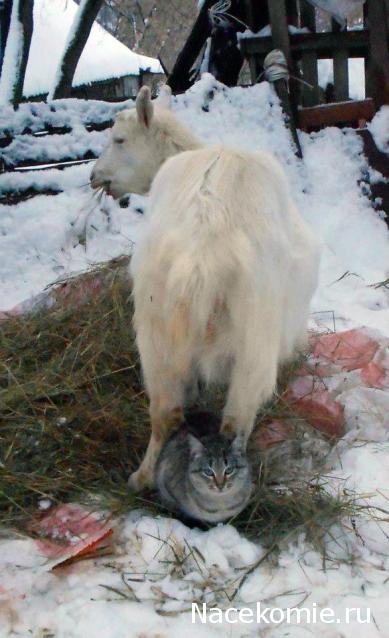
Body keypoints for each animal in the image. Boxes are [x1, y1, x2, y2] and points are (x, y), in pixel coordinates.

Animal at [91, 86, 318, 496]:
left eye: (119, 140)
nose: (94, 177)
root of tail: (201, 256)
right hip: (254, 342)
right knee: (235, 424)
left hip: (156, 328)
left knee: (165, 411)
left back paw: (141, 479)